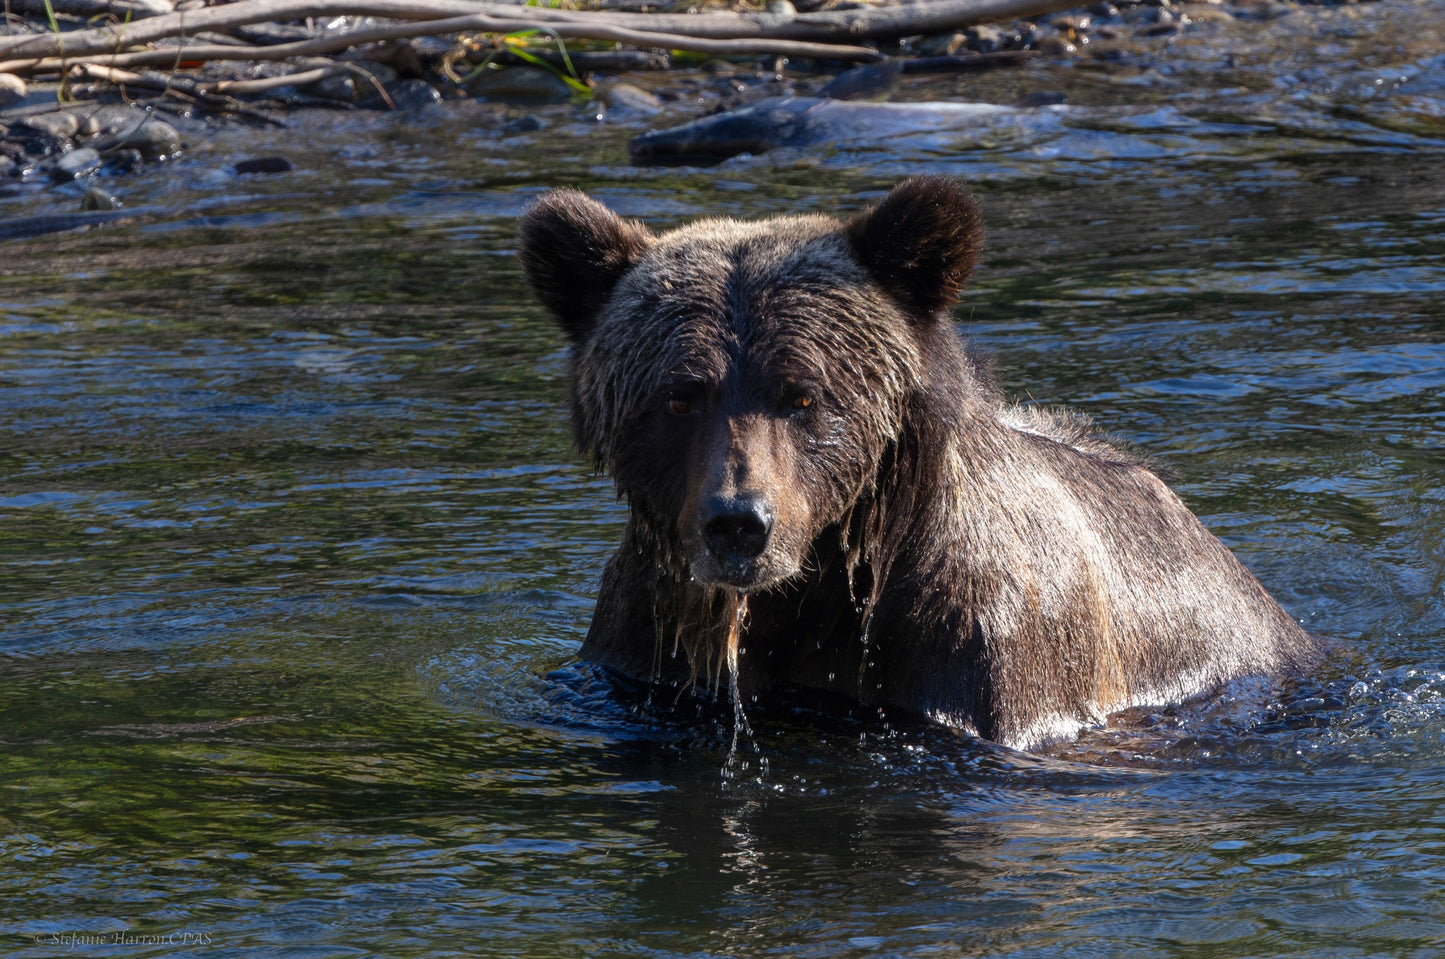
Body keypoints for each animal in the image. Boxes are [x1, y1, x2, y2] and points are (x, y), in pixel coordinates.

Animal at [520, 177, 1323, 751]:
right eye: (680, 396)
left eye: (803, 394)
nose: (739, 524)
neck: (817, 589)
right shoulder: (643, 651)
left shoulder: (981, 660)